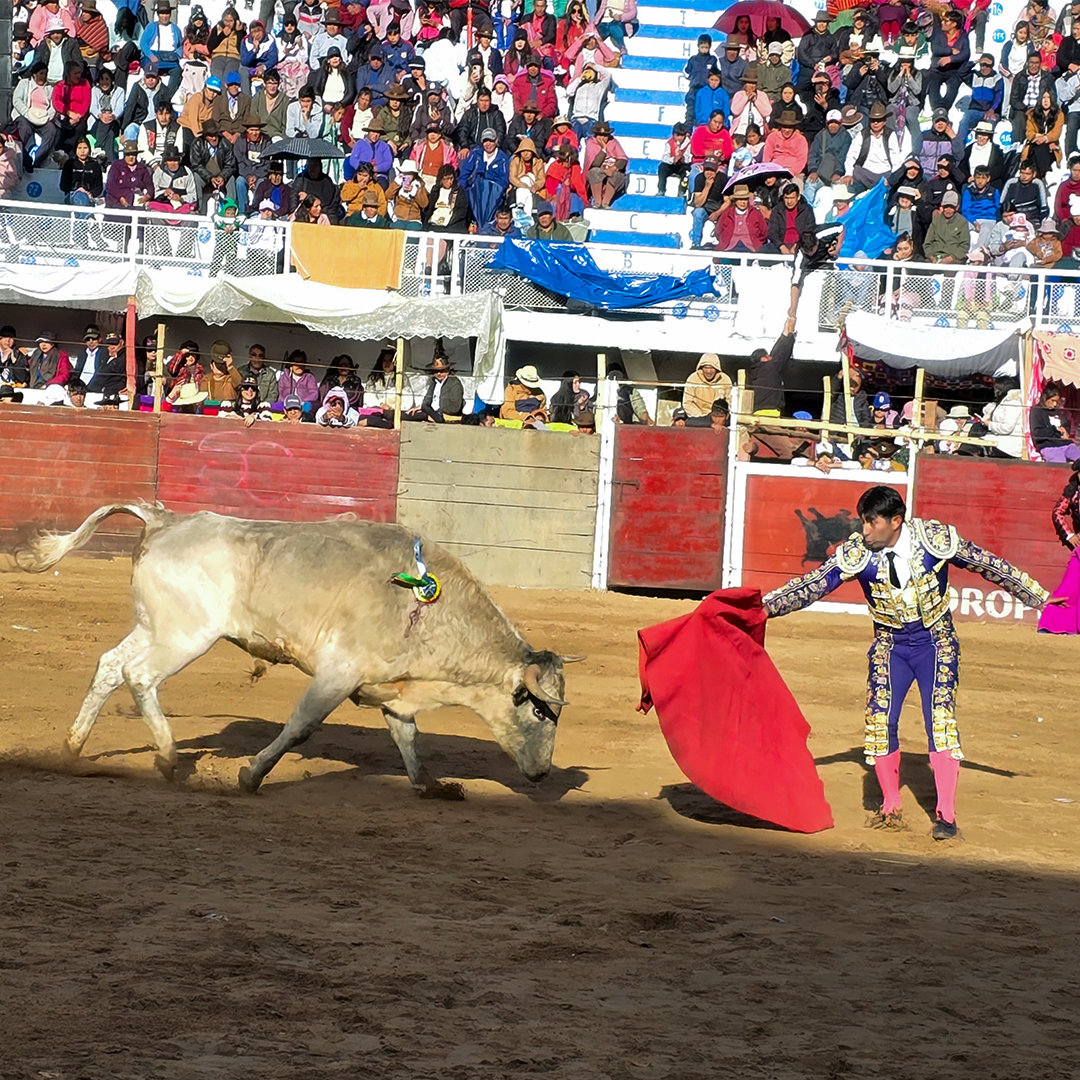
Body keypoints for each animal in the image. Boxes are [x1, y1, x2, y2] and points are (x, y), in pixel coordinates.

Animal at [15, 504, 573, 797]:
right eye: (540, 711)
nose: (544, 773)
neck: (425, 606)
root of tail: (164, 520)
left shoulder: (388, 685)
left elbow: (408, 737)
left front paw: (431, 785)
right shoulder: (338, 673)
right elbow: (302, 725)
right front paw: (251, 774)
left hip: (153, 626)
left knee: (111, 665)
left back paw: (72, 749)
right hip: (184, 636)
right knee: (140, 676)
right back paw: (170, 759)